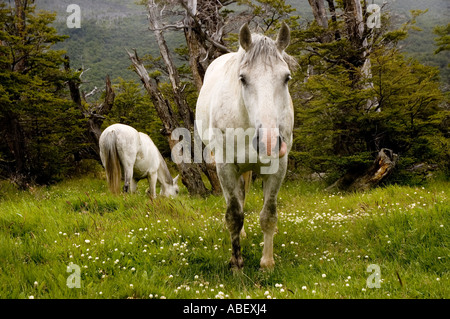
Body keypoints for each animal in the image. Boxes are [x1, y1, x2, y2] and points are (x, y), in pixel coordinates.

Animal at [195, 22, 294, 270]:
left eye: (286, 78)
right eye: (243, 78)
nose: (269, 142)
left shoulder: (278, 167)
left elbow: (268, 215)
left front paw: (267, 263)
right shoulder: (226, 167)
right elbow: (234, 215)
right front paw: (236, 264)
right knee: (236, 201)